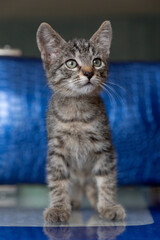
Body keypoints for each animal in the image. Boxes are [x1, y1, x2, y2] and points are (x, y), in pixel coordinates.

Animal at [37, 20, 125, 223]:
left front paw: (108, 206)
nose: (89, 73)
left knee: (90, 184)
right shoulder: (57, 149)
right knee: (76, 183)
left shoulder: (104, 146)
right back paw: (73, 200)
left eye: (96, 62)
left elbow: (106, 178)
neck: (77, 113)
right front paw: (59, 208)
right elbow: (58, 179)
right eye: (71, 63)